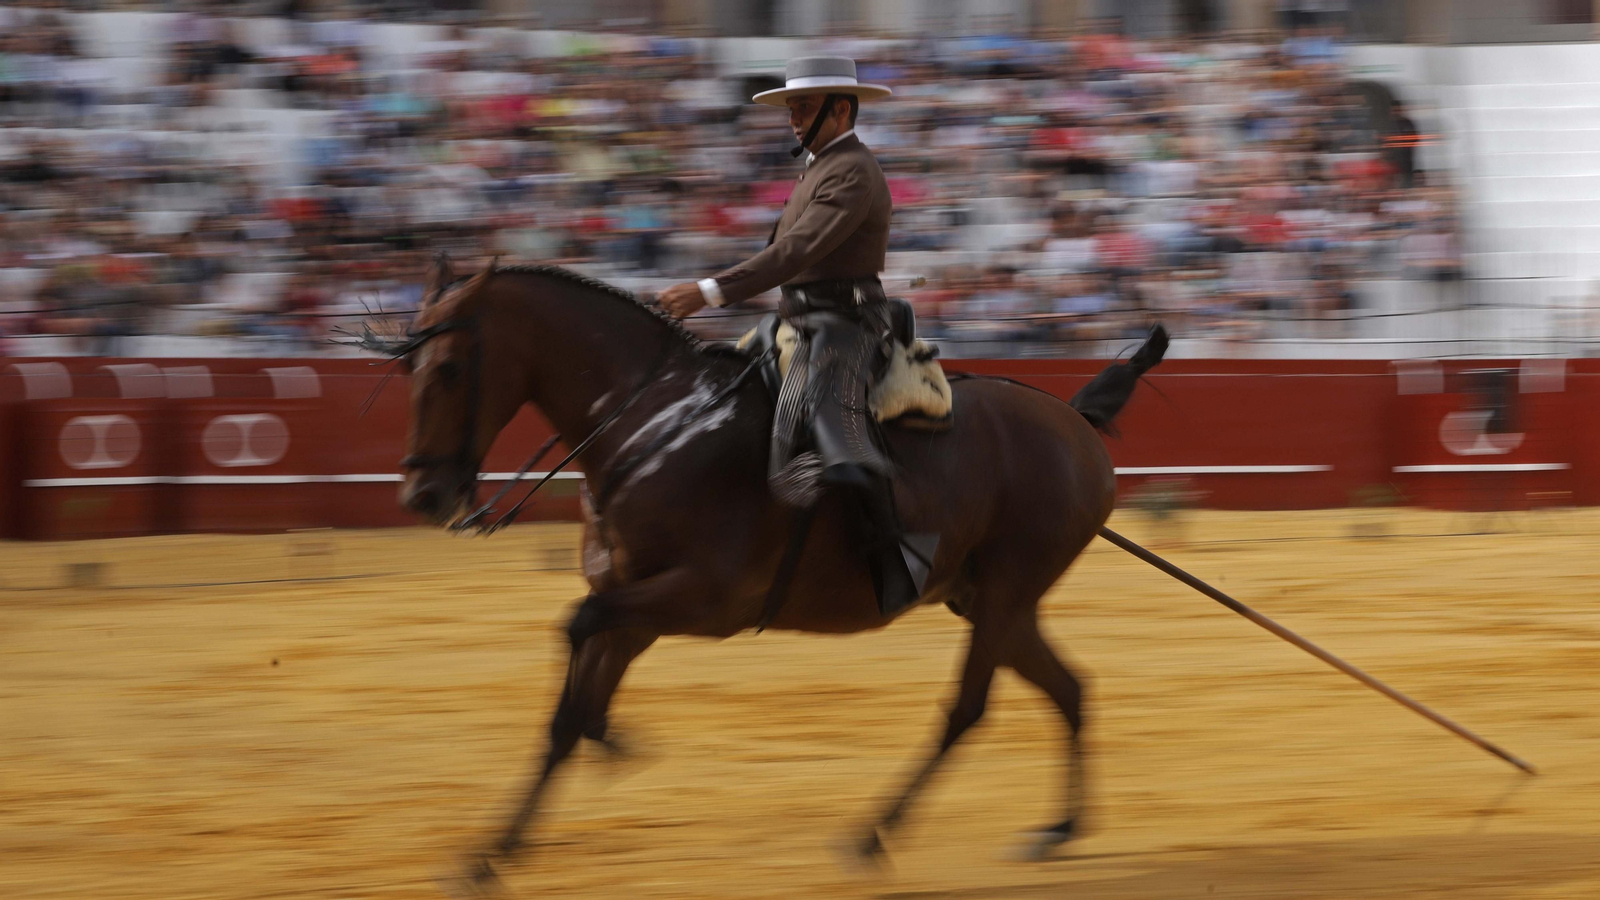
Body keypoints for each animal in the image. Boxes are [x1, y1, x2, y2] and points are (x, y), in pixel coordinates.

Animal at [383, 256, 1167, 891]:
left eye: (448, 368)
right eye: (406, 370)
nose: (423, 495)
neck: (655, 423)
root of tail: (1073, 421)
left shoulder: (702, 599)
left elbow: (574, 642)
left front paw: (510, 835)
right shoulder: (633, 603)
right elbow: (571, 707)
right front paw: (494, 851)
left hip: (1005, 593)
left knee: (968, 709)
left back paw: (871, 835)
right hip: (989, 600)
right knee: (1068, 689)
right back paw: (1057, 830)